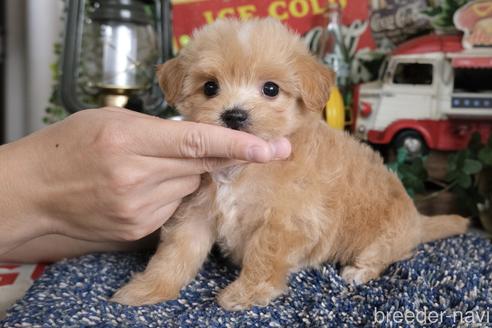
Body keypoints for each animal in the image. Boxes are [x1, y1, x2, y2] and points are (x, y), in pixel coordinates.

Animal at [111, 17, 468, 310]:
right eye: (210, 87)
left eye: (271, 89)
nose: (234, 115)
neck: (241, 167)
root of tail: (418, 221)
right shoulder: (197, 213)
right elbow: (175, 254)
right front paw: (147, 289)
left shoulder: (287, 221)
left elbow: (264, 256)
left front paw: (245, 294)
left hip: (387, 234)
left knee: (385, 255)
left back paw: (359, 270)